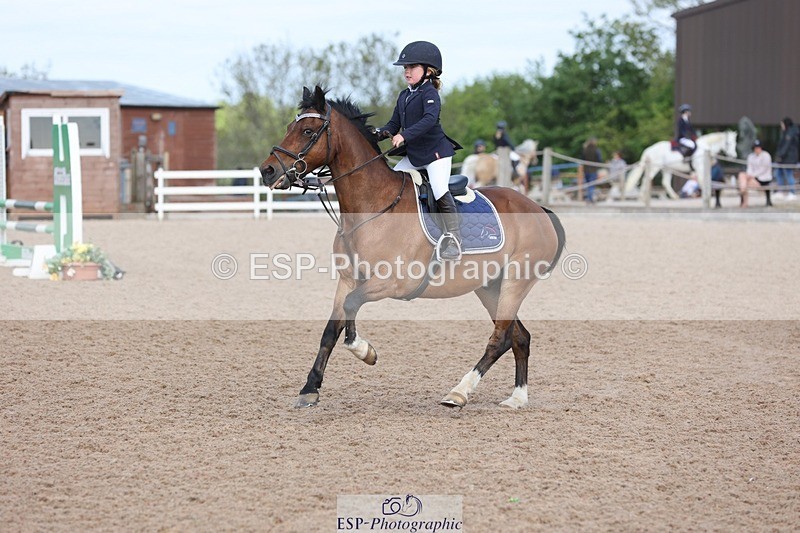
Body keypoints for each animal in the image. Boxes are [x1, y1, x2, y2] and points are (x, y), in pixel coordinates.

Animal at [259, 86, 565, 410]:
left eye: (307, 131)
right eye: (289, 128)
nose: (267, 171)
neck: (372, 207)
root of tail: (538, 208)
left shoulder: (392, 282)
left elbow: (352, 307)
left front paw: (365, 351)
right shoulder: (347, 280)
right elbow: (331, 329)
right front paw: (310, 388)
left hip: (515, 282)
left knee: (500, 338)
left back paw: (459, 392)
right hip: (490, 286)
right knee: (519, 337)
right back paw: (517, 397)